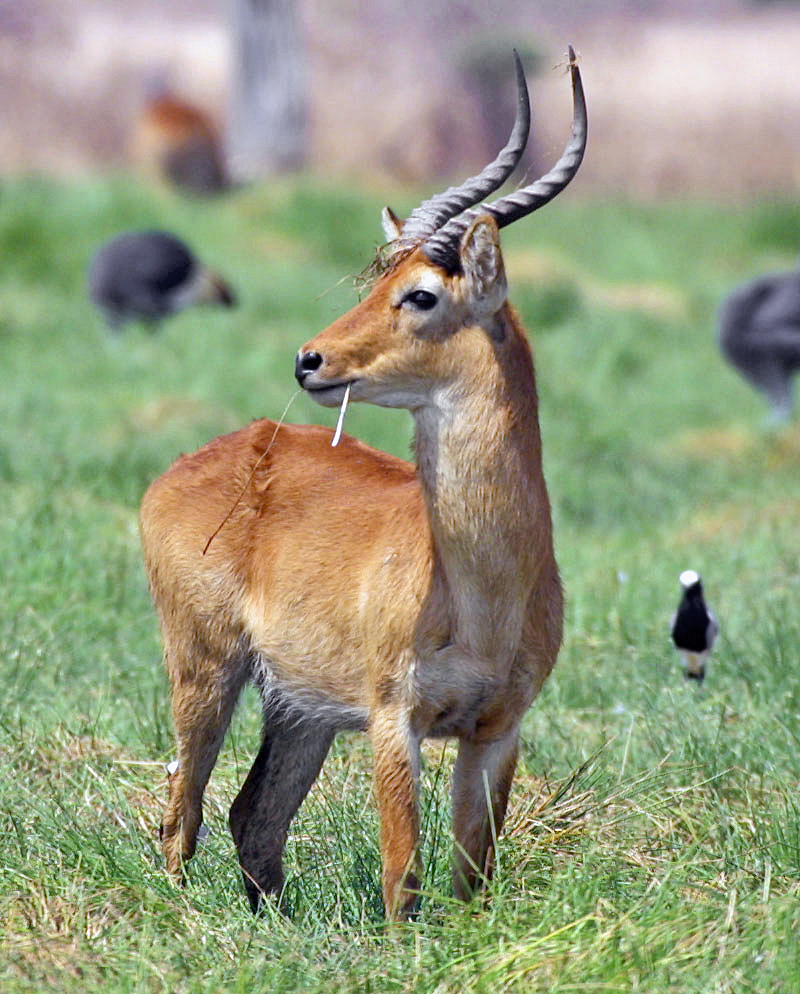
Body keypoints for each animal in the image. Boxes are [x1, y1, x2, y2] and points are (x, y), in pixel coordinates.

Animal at [139, 48, 587, 919]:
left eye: (421, 293)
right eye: (376, 282)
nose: (309, 358)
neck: (484, 588)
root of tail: (211, 454)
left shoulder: (497, 728)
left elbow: (473, 875)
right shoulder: (393, 718)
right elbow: (402, 874)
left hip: (298, 707)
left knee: (253, 814)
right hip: (206, 668)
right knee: (184, 806)